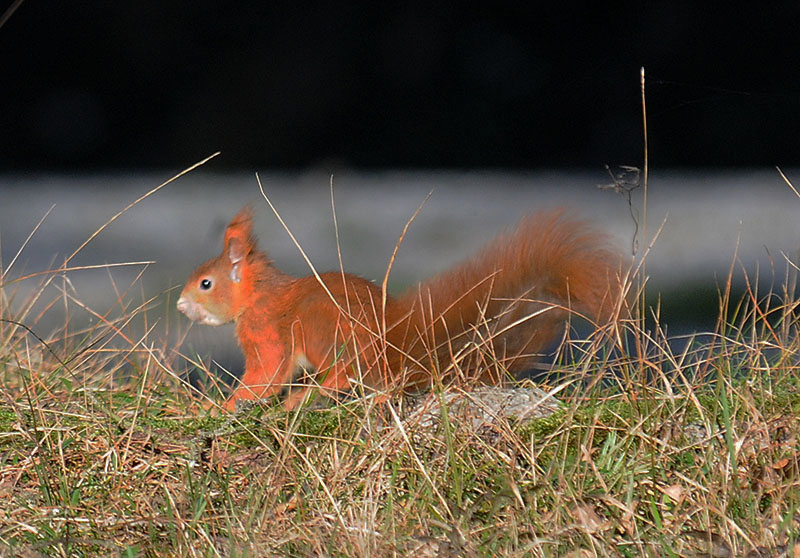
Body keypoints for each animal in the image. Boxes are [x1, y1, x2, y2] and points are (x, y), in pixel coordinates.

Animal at [178, 206, 620, 412]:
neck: (258, 296)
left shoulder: (266, 333)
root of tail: (395, 346)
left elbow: (264, 378)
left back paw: (306, 397)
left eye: (206, 283)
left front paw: (219, 406)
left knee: (343, 375)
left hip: (322, 329)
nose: (181, 305)